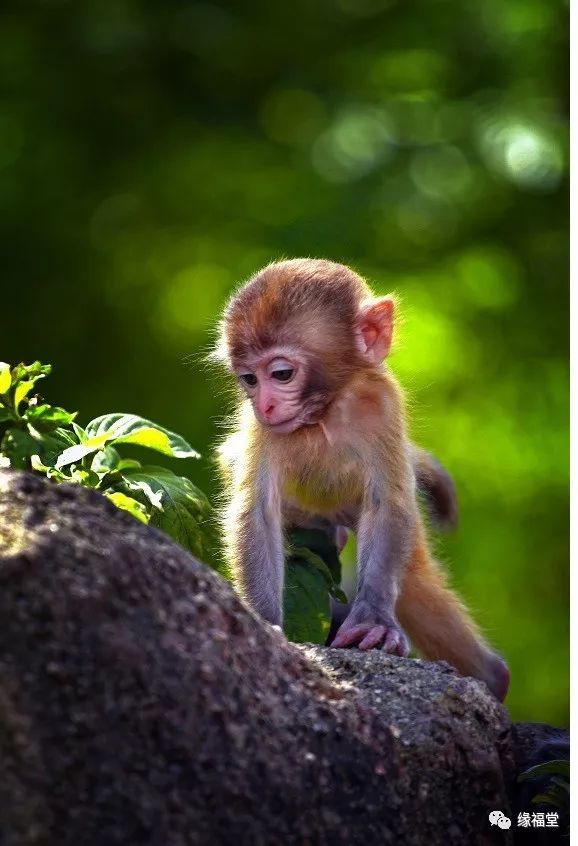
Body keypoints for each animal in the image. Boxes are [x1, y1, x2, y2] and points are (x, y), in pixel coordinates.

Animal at [214, 258, 506, 704]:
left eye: (280, 373)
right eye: (249, 379)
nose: (264, 404)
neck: (325, 412)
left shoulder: (383, 404)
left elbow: (388, 505)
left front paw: (373, 621)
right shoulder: (261, 429)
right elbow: (258, 512)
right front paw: (263, 624)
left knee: (414, 578)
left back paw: (494, 677)